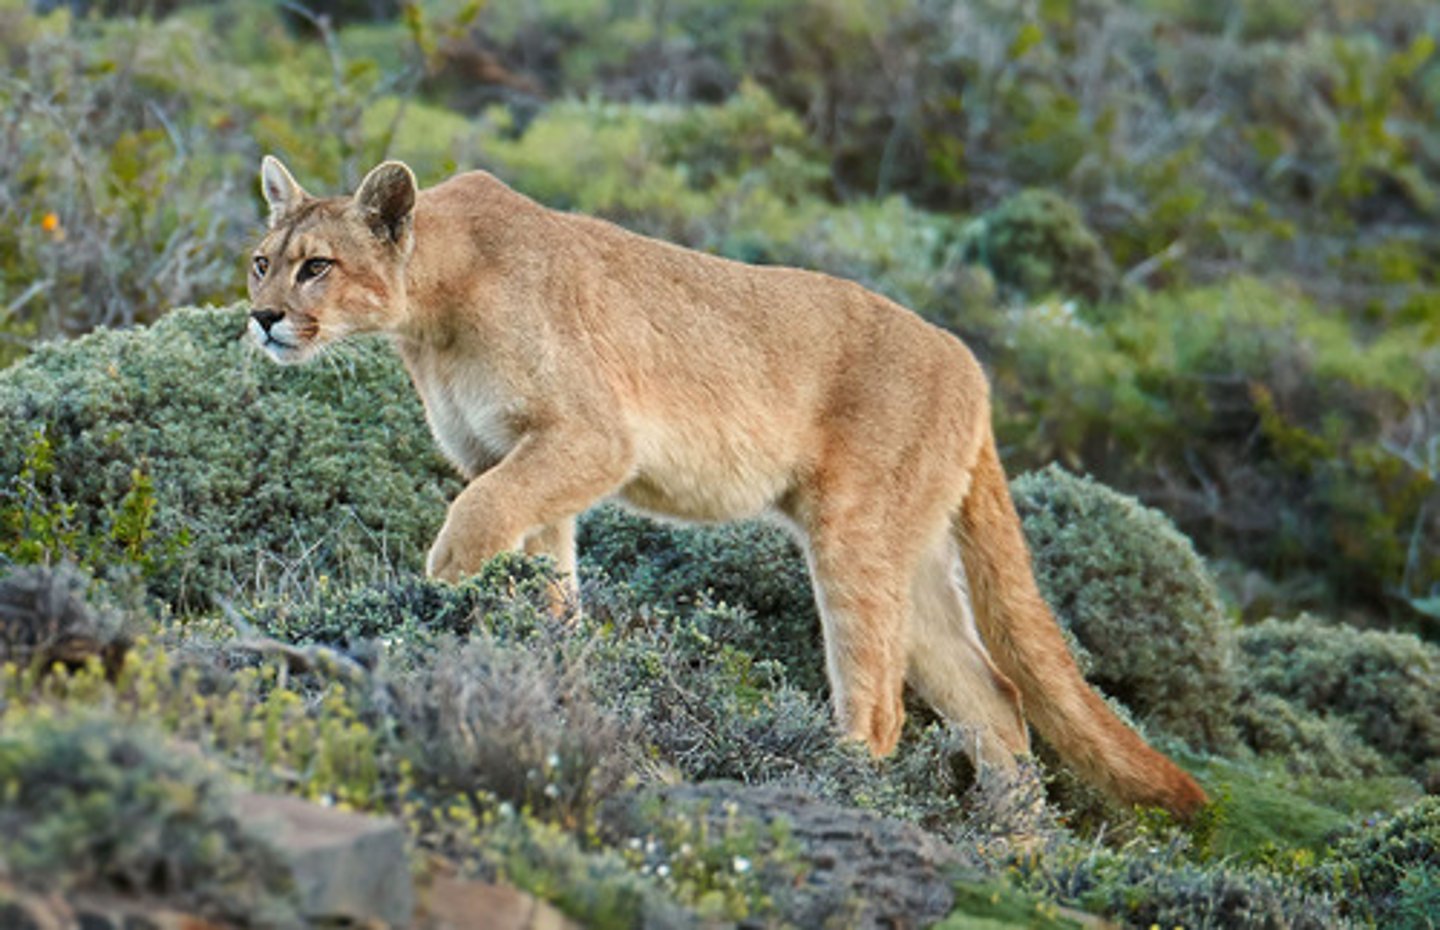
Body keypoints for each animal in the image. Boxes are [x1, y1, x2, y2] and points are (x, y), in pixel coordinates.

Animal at [246, 156, 1207, 818]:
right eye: (261, 261)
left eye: (317, 266)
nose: (259, 318)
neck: (434, 308)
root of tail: (969, 365)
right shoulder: (515, 455)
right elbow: (546, 567)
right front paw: (540, 645)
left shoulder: (590, 437)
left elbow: (475, 515)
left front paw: (437, 595)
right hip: (917, 555)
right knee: (995, 697)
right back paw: (1019, 847)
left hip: (853, 532)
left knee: (883, 700)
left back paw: (839, 782)